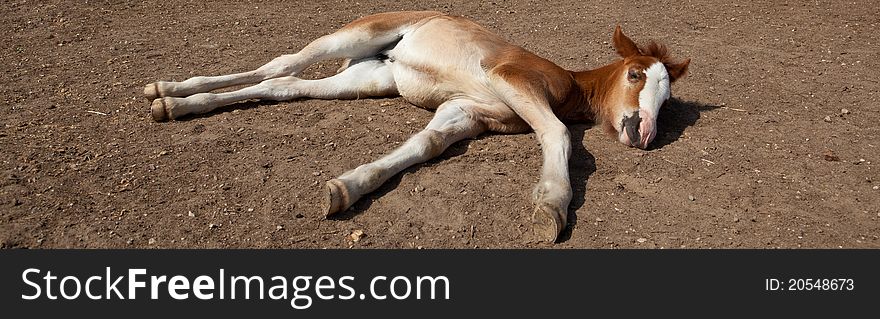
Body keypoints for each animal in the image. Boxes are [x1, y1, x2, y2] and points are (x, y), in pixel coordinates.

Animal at [144, 11, 692, 244]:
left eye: (668, 99)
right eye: (636, 75)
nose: (644, 133)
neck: (566, 84)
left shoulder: (464, 112)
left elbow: (423, 145)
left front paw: (345, 189)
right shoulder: (510, 80)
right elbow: (557, 134)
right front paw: (551, 207)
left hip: (367, 78)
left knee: (285, 86)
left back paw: (171, 105)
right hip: (353, 37)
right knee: (280, 65)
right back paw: (164, 90)